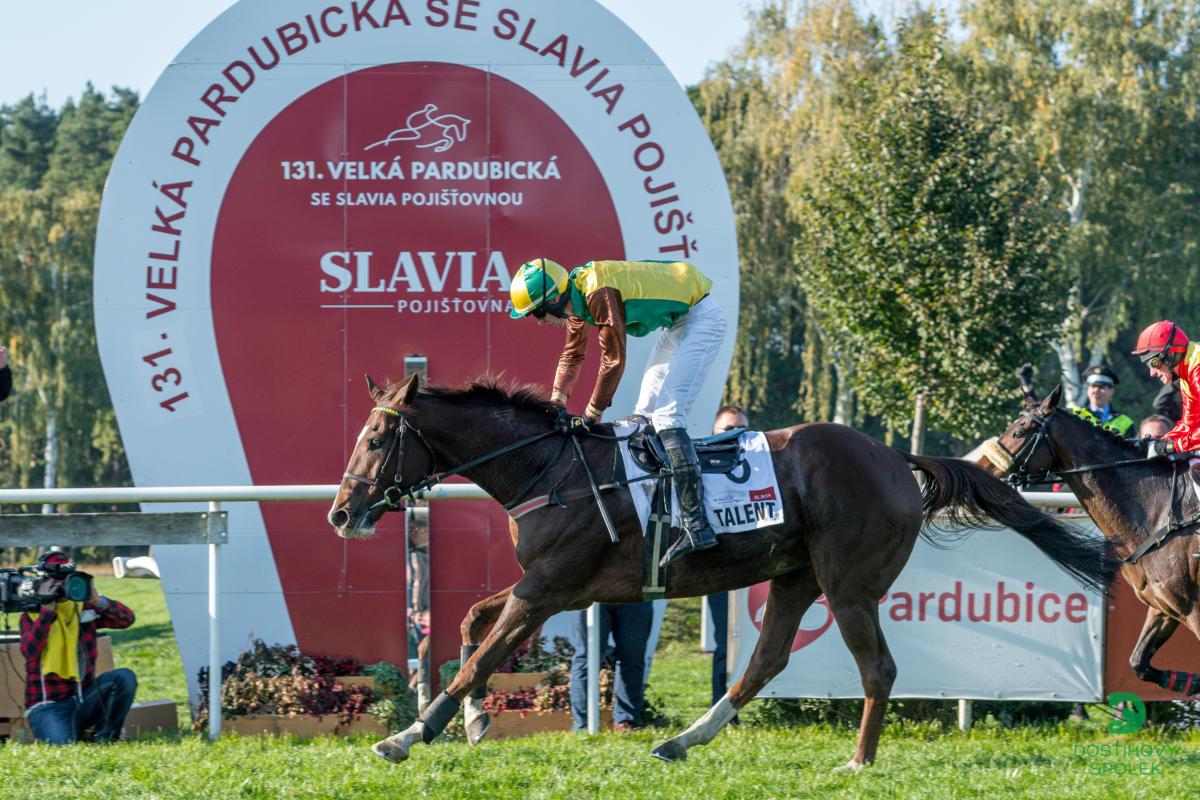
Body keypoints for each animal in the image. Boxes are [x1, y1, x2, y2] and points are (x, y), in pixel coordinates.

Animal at [326, 379, 1113, 772]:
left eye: (376, 437)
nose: (340, 512)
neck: (550, 469)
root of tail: (896, 457)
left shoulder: (548, 587)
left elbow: (479, 659)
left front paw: (407, 737)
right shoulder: (551, 588)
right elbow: (470, 626)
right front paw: (474, 721)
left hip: (848, 584)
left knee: (878, 669)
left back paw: (859, 761)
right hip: (795, 576)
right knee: (765, 660)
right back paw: (682, 740)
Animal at [979, 388, 1200, 700]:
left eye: (1019, 431)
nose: (981, 468)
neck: (1159, 512)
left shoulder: (1193, 608)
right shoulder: (1165, 604)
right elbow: (1138, 662)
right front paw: (1185, 681)